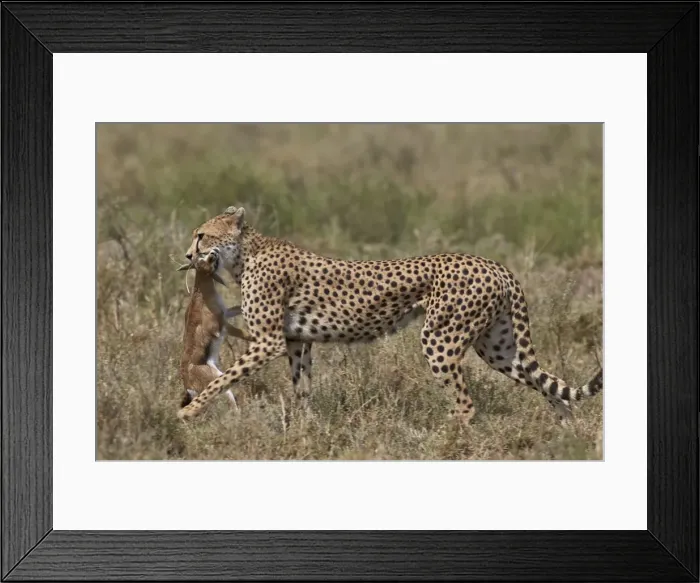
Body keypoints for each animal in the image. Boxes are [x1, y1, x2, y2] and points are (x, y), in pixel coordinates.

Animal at [177, 250, 253, 409]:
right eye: (198, 261)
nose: (213, 253)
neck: (202, 298)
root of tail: (187, 385)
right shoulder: (224, 326)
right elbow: (245, 334)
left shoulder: (227, 312)